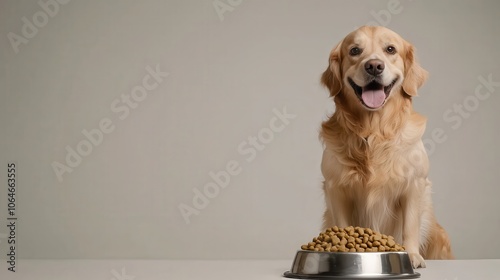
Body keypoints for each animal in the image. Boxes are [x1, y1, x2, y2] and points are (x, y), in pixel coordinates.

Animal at [320, 25, 454, 266]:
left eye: (390, 49)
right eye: (354, 50)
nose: (374, 66)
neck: (373, 133)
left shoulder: (414, 184)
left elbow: (410, 226)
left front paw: (411, 256)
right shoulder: (336, 187)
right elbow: (342, 224)